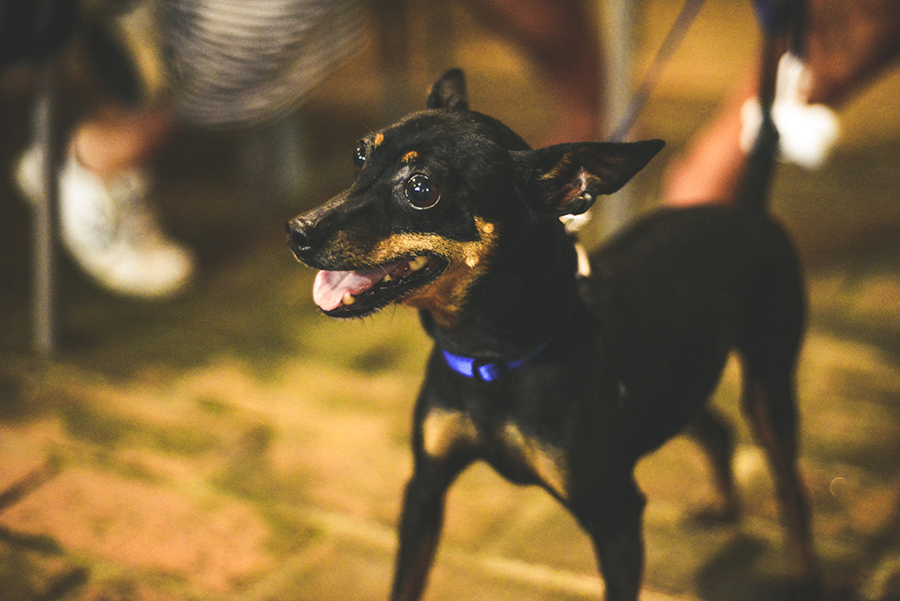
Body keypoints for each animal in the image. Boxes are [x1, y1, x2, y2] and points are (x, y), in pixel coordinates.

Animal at [287, 69, 821, 601]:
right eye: (359, 155)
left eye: (421, 189)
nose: (297, 231)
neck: (491, 355)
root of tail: (747, 210)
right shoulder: (424, 488)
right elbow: (406, 582)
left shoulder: (616, 519)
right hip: (675, 380)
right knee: (716, 428)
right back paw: (723, 506)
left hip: (767, 385)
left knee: (791, 487)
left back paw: (803, 575)